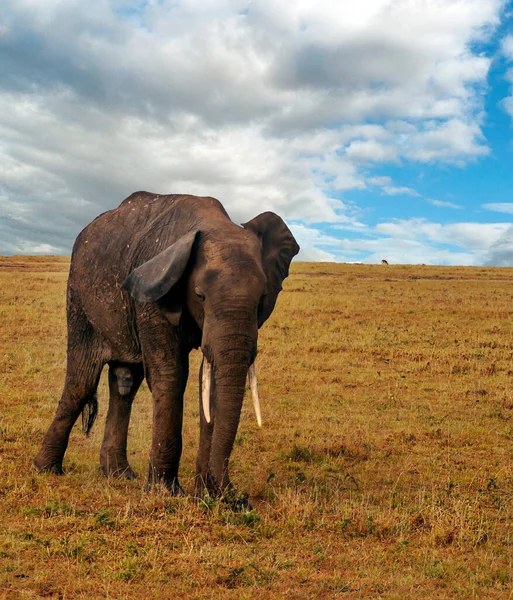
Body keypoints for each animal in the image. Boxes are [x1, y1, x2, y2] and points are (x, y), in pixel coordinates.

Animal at [32, 191, 298, 502]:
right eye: (200, 295)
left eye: (262, 298)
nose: (237, 497)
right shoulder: (153, 293)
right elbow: (171, 374)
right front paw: (166, 492)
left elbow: (210, 380)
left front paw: (207, 496)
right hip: (79, 297)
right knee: (82, 380)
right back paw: (46, 470)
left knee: (124, 384)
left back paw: (118, 474)